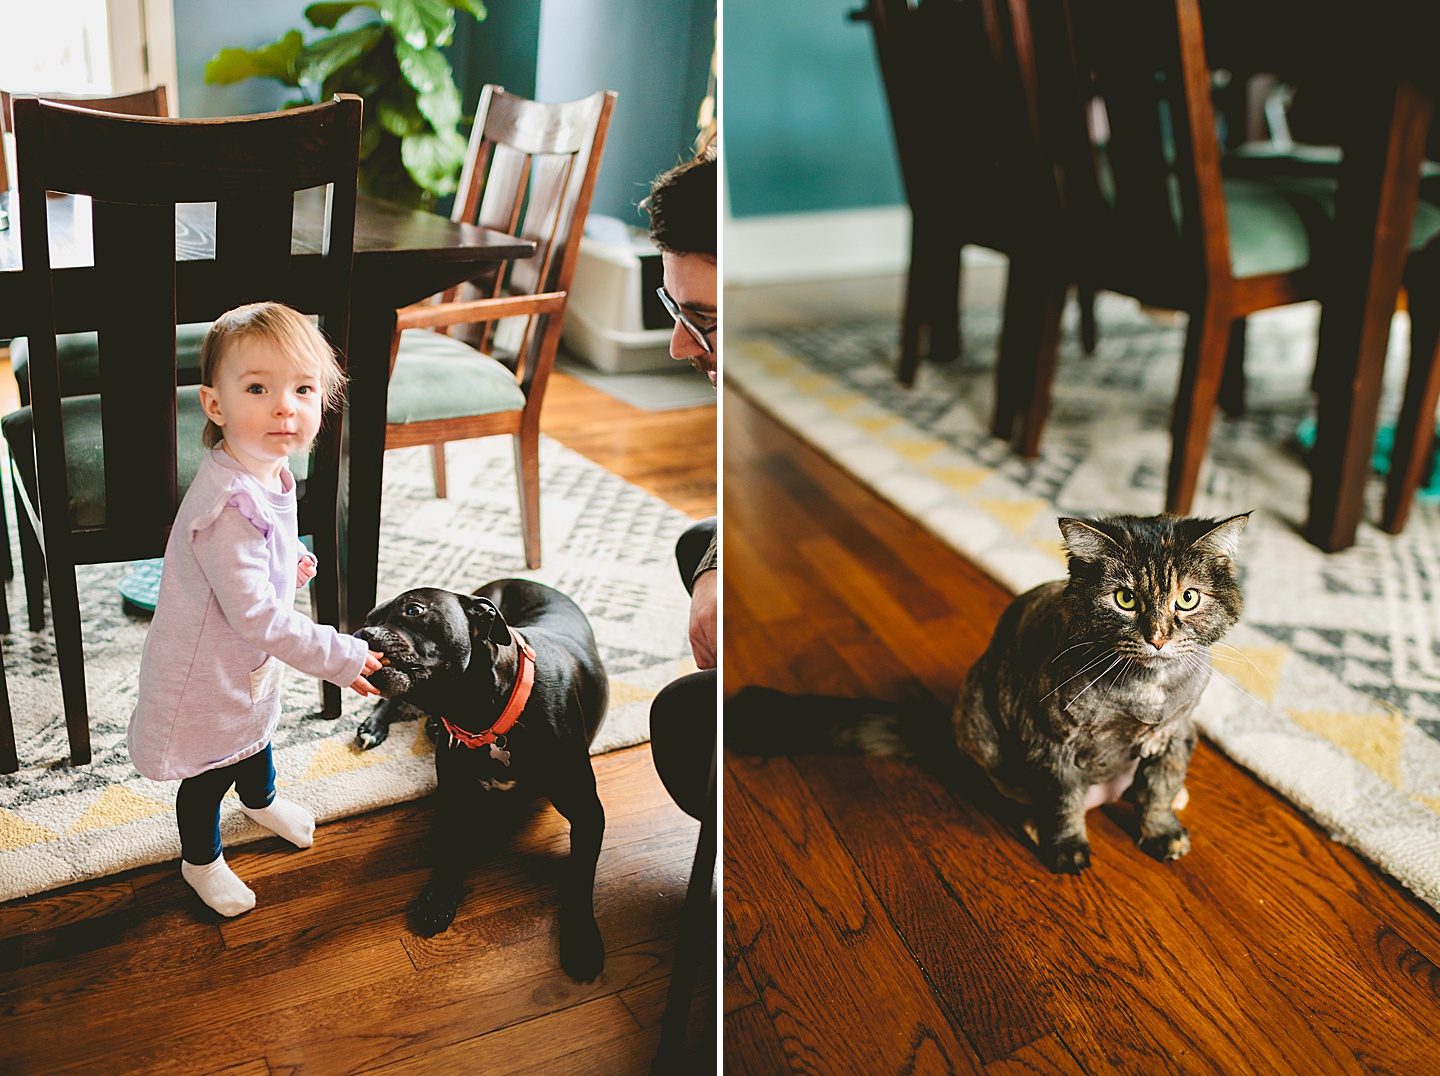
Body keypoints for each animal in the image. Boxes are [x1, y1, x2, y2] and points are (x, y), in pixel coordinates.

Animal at [360, 581, 613, 985]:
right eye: (368, 618)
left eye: (413, 610)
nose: (359, 634)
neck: (485, 716)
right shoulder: (453, 797)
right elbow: (450, 848)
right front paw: (439, 896)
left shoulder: (587, 812)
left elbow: (579, 876)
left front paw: (581, 938)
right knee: (391, 702)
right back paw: (375, 725)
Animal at [961, 512, 1255, 875]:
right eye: (1125, 599)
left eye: (1188, 598)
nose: (1158, 638)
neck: (1147, 689)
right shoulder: (1051, 744)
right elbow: (1064, 804)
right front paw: (1067, 847)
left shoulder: (1176, 734)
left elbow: (1160, 791)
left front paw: (1162, 832)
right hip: (980, 729)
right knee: (1018, 791)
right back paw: (1035, 824)